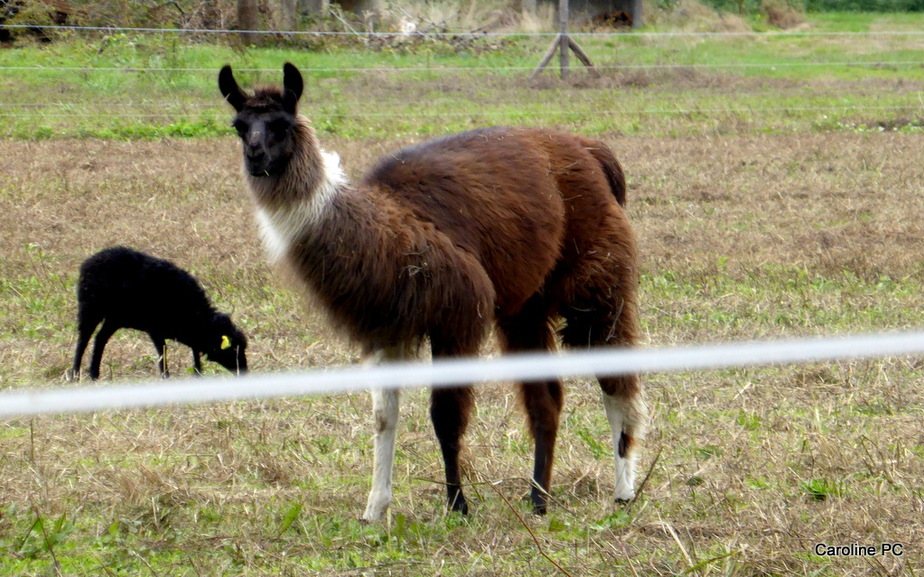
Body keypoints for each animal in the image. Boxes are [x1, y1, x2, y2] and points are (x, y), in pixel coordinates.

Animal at [71, 245, 249, 380]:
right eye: (233, 350)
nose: (245, 372)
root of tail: (92, 258)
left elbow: (194, 350)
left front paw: (198, 373)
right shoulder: (155, 329)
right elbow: (163, 352)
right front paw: (166, 376)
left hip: (114, 318)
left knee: (100, 339)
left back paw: (94, 374)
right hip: (90, 308)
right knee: (83, 339)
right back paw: (75, 374)